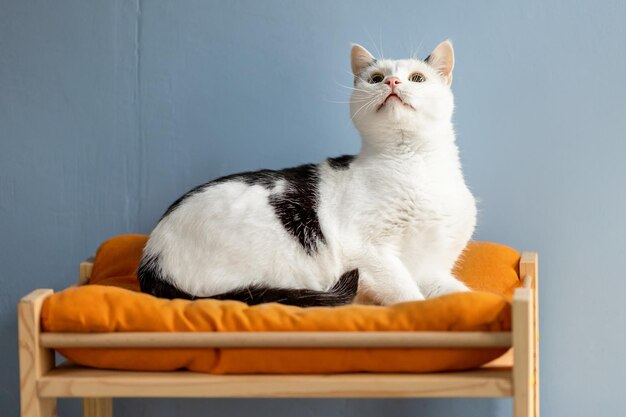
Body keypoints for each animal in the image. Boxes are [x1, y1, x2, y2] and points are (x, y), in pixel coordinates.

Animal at [139, 40, 476, 308]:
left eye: (417, 78)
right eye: (376, 78)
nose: (392, 81)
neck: (413, 164)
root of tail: (152, 256)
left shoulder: (430, 268)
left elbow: (462, 293)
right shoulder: (368, 252)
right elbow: (408, 296)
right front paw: (419, 307)